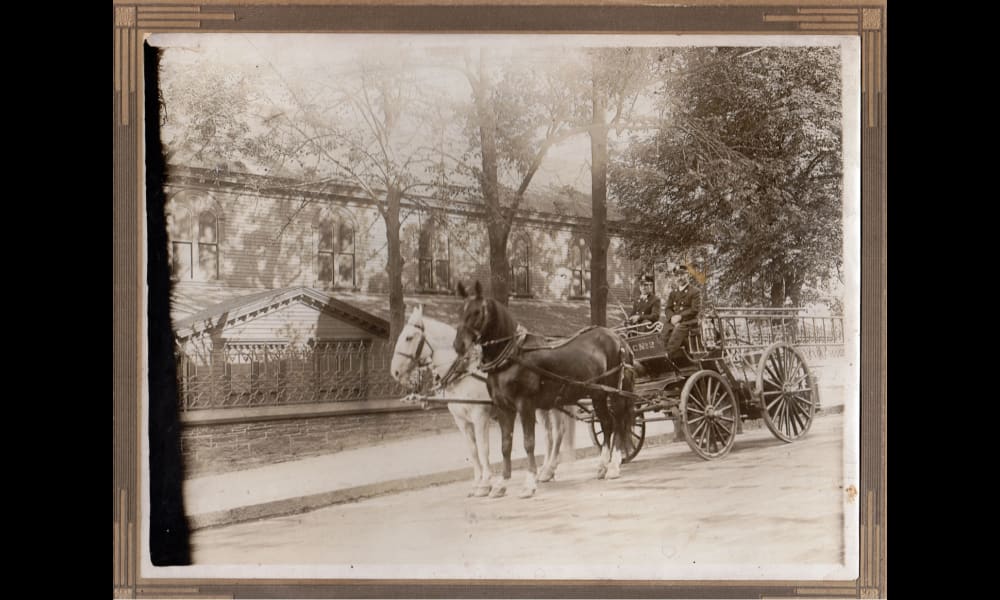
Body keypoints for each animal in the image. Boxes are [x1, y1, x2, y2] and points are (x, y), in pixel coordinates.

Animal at [392, 304, 580, 496]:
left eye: (408, 337)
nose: (395, 372)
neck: (464, 372)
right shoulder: (462, 421)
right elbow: (473, 451)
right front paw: (477, 483)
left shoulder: (480, 415)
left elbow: (483, 449)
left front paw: (485, 483)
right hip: (540, 406)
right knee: (548, 435)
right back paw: (544, 471)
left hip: (553, 404)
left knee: (558, 432)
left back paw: (549, 469)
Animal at [454, 282, 632, 496]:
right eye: (460, 311)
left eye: (477, 312)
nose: (458, 345)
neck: (511, 357)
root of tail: (617, 338)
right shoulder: (505, 408)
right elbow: (506, 446)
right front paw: (502, 484)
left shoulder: (525, 405)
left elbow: (528, 443)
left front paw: (529, 482)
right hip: (597, 393)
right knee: (607, 423)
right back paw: (603, 465)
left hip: (614, 392)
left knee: (619, 422)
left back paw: (614, 465)